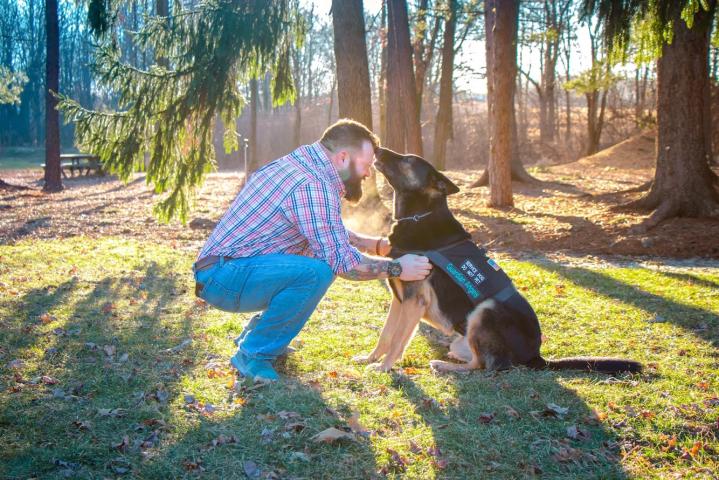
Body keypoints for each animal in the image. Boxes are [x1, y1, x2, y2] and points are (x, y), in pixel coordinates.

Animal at [358, 146, 644, 376]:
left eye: (407, 159)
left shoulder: (413, 302)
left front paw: (384, 367)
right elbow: (385, 335)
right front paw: (371, 358)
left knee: (485, 366)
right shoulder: (400, 299)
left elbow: (397, 340)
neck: (420, 216)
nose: (377, 147)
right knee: (480, 359)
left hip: (485, 311)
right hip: (461, 338)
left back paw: (445, 366)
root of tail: (536, 357)